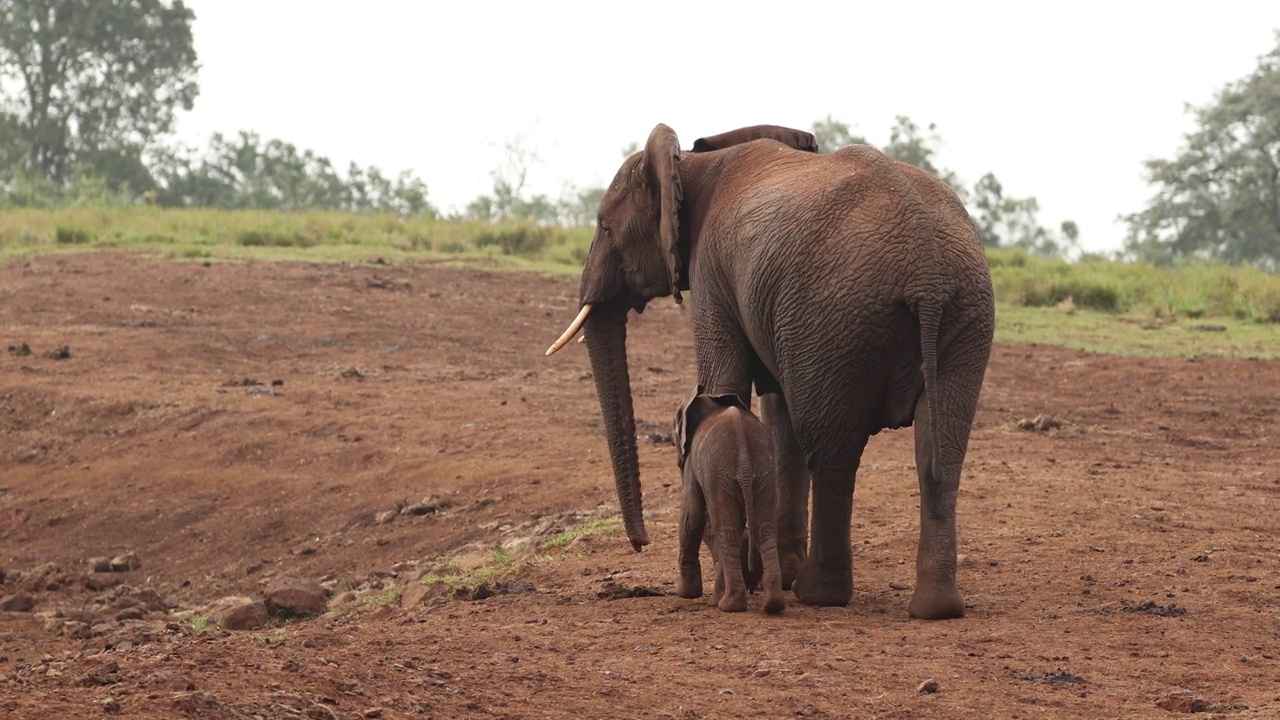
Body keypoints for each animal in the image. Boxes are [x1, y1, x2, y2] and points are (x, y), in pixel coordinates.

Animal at [675, 386, 783, 609]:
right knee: (764, 528)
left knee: (727, 530)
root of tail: (744, 465)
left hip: (719, 474)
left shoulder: (691, 462)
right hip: (765, 471)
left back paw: (729, 605)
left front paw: (685, 593)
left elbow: (692, 515)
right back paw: (773, 604)